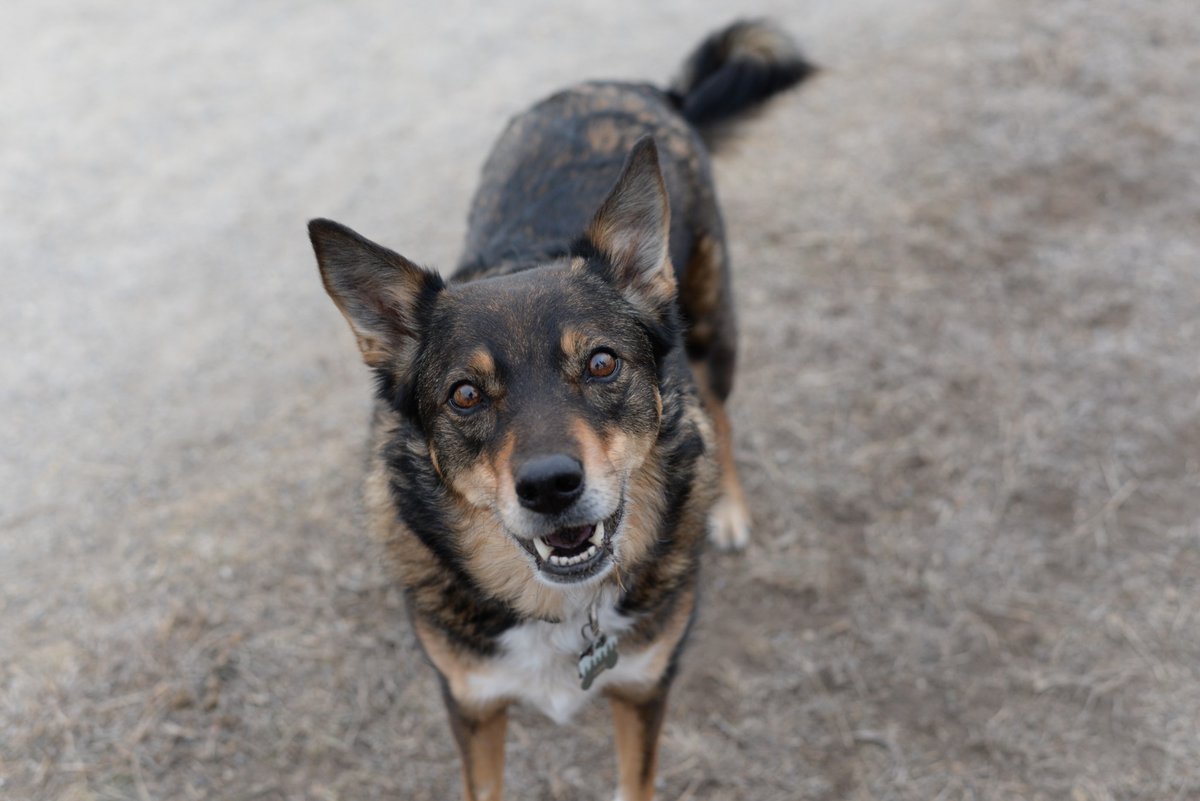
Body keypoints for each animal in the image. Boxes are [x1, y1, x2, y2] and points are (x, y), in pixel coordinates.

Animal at [307, 18, 816, 801]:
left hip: (711, 327)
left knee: (722, 417)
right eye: (464, 394)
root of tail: (640, 86)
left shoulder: (644, 687)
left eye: (602, 363)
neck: (561, 610)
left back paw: (729, 507)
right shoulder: (472, 702)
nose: (550, 486)